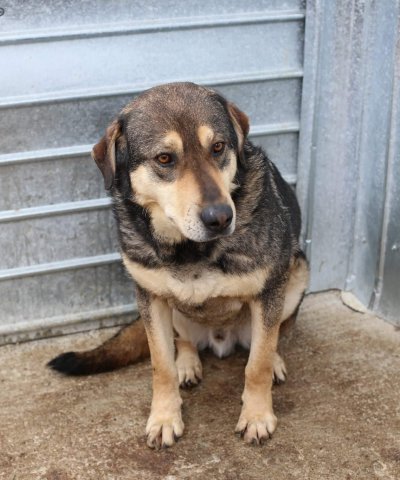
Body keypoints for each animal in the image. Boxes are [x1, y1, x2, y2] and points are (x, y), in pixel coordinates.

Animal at [48, 82, 309, 449]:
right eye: (164, 158)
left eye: (218, 147)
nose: (220, 218)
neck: (189, 249)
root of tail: (221, 340)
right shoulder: (151, 298)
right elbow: (161, 366)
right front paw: (164, 418)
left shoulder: (269, 292)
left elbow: (256, 364)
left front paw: (257, 416)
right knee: (183, 340)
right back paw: (187, 362)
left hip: (298, 273)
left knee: (273, 338)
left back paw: (275, 362)